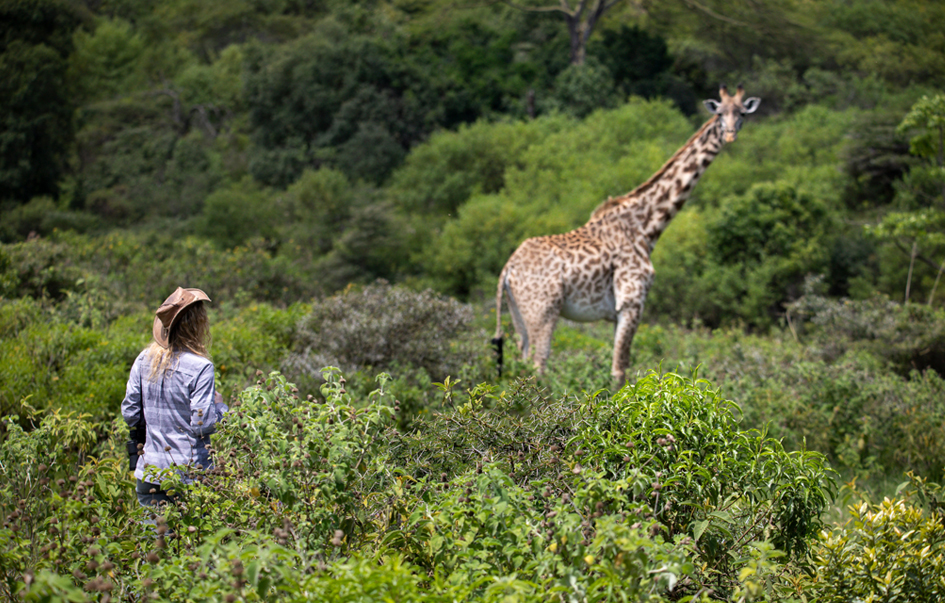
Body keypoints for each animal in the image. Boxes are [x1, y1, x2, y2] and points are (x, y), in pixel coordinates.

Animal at [494, 85, 760, 382]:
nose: (730, 134)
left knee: (522, 360)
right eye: (720, 113)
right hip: (543, 312)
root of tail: (508, 269)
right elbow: (620, 370)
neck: (646, 226)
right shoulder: (632, 302)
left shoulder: (617, 312)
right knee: (538, 365)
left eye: (742, 113)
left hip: (518, 313)